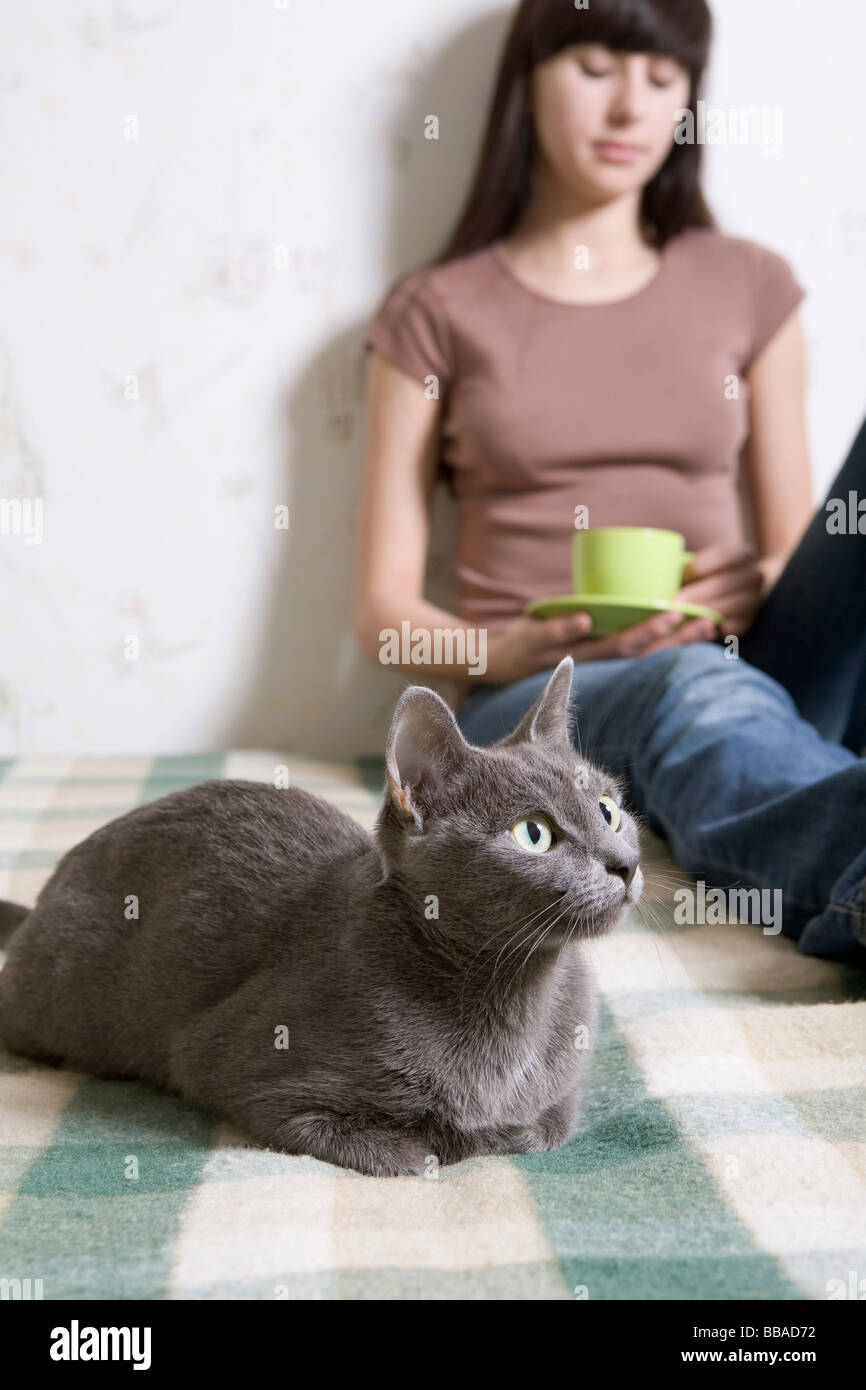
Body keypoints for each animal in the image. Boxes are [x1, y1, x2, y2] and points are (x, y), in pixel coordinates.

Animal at [0, 656, 636, 1178]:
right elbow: (391, 1149)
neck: (515, 989)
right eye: (534, 833)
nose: (626, 864)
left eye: (609, 810)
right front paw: (439, 1143)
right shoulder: (234, 1065)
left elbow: (547, 1125)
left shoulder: (560, 1089)